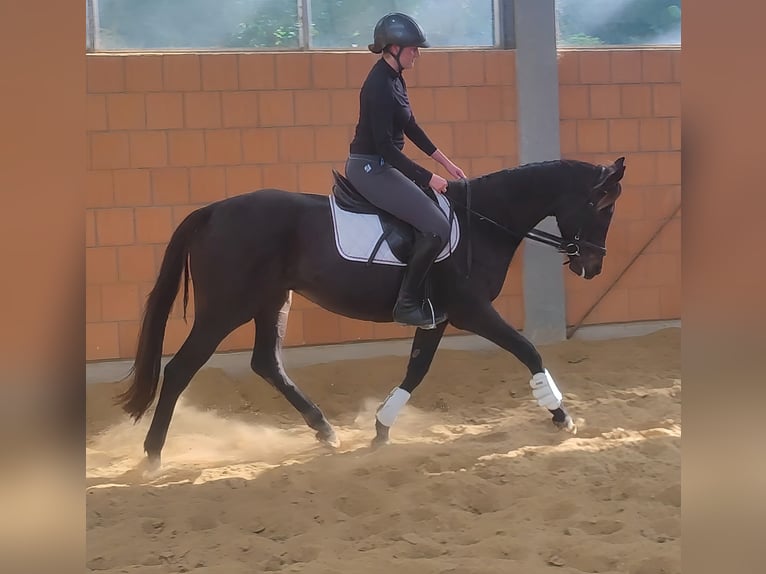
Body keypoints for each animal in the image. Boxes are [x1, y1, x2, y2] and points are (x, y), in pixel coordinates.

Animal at [116, 156, 626, 470]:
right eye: (602, 208)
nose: (593, 265)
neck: (482, 222)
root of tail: (212, 210)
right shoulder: (472, 311)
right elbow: (527, 351)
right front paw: (561, 417)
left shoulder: (437, 316)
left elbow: (417, 370)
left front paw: (381, 428)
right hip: (225, 309)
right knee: (181, 369)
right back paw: (153, 456)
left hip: (271, 302)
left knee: (267, 363)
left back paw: (325, 431)